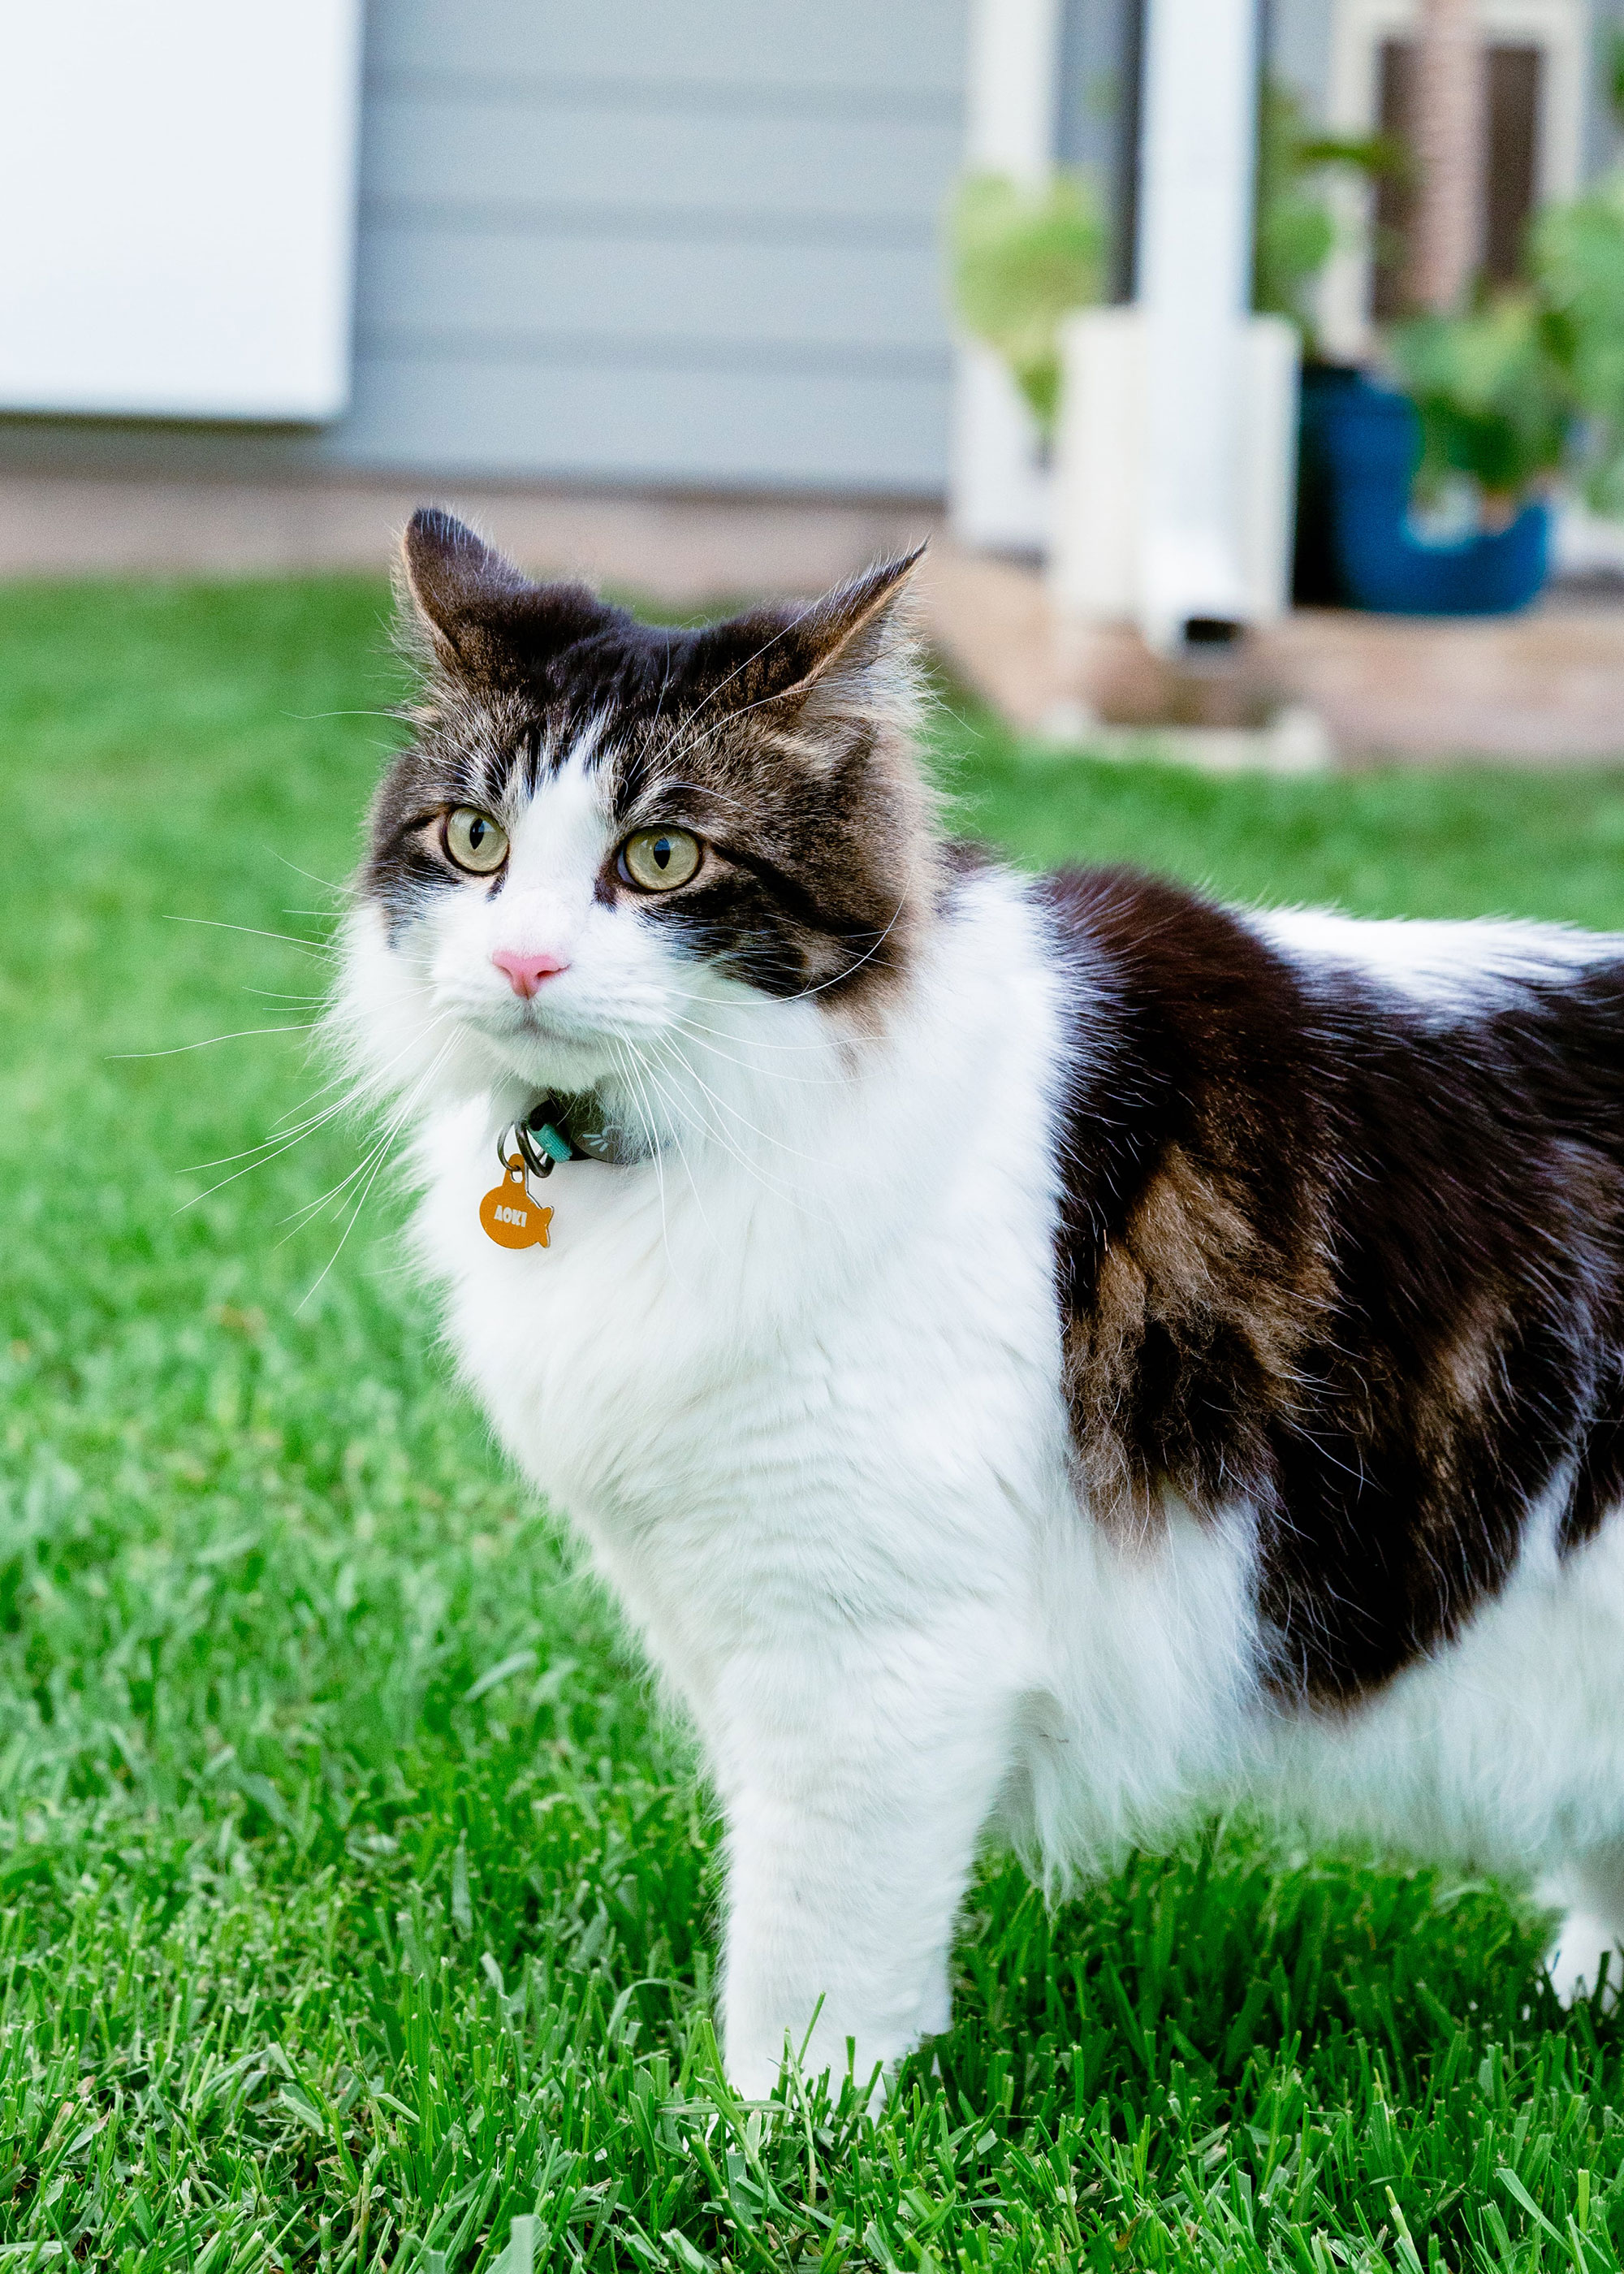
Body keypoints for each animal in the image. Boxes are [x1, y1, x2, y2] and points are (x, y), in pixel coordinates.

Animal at [331, 512, 1624, 2092]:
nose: (523, 962)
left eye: (660, 858)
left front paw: (782, 2123)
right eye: (476, 842)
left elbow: (810, 1948)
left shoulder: (870, 1651)